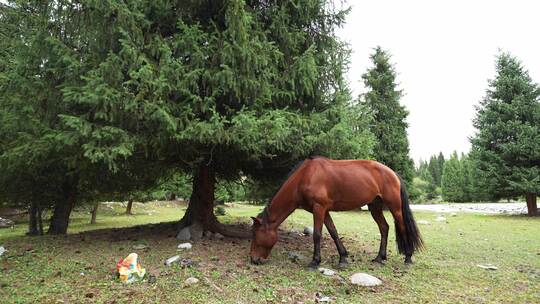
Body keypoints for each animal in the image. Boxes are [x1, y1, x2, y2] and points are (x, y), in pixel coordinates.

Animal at [251, 157, 424, 268]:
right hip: (374, 206)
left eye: (255, 235)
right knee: (384, 228)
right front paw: (343, 258)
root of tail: (393, 173)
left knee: (402, 227)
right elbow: (333, 232)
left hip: (395, 207)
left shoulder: (319, 208)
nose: (254, 259)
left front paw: (315, 261)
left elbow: (317, 235)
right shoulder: (324, 210)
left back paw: (408, 258)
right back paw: (379, 258)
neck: (305, 177)